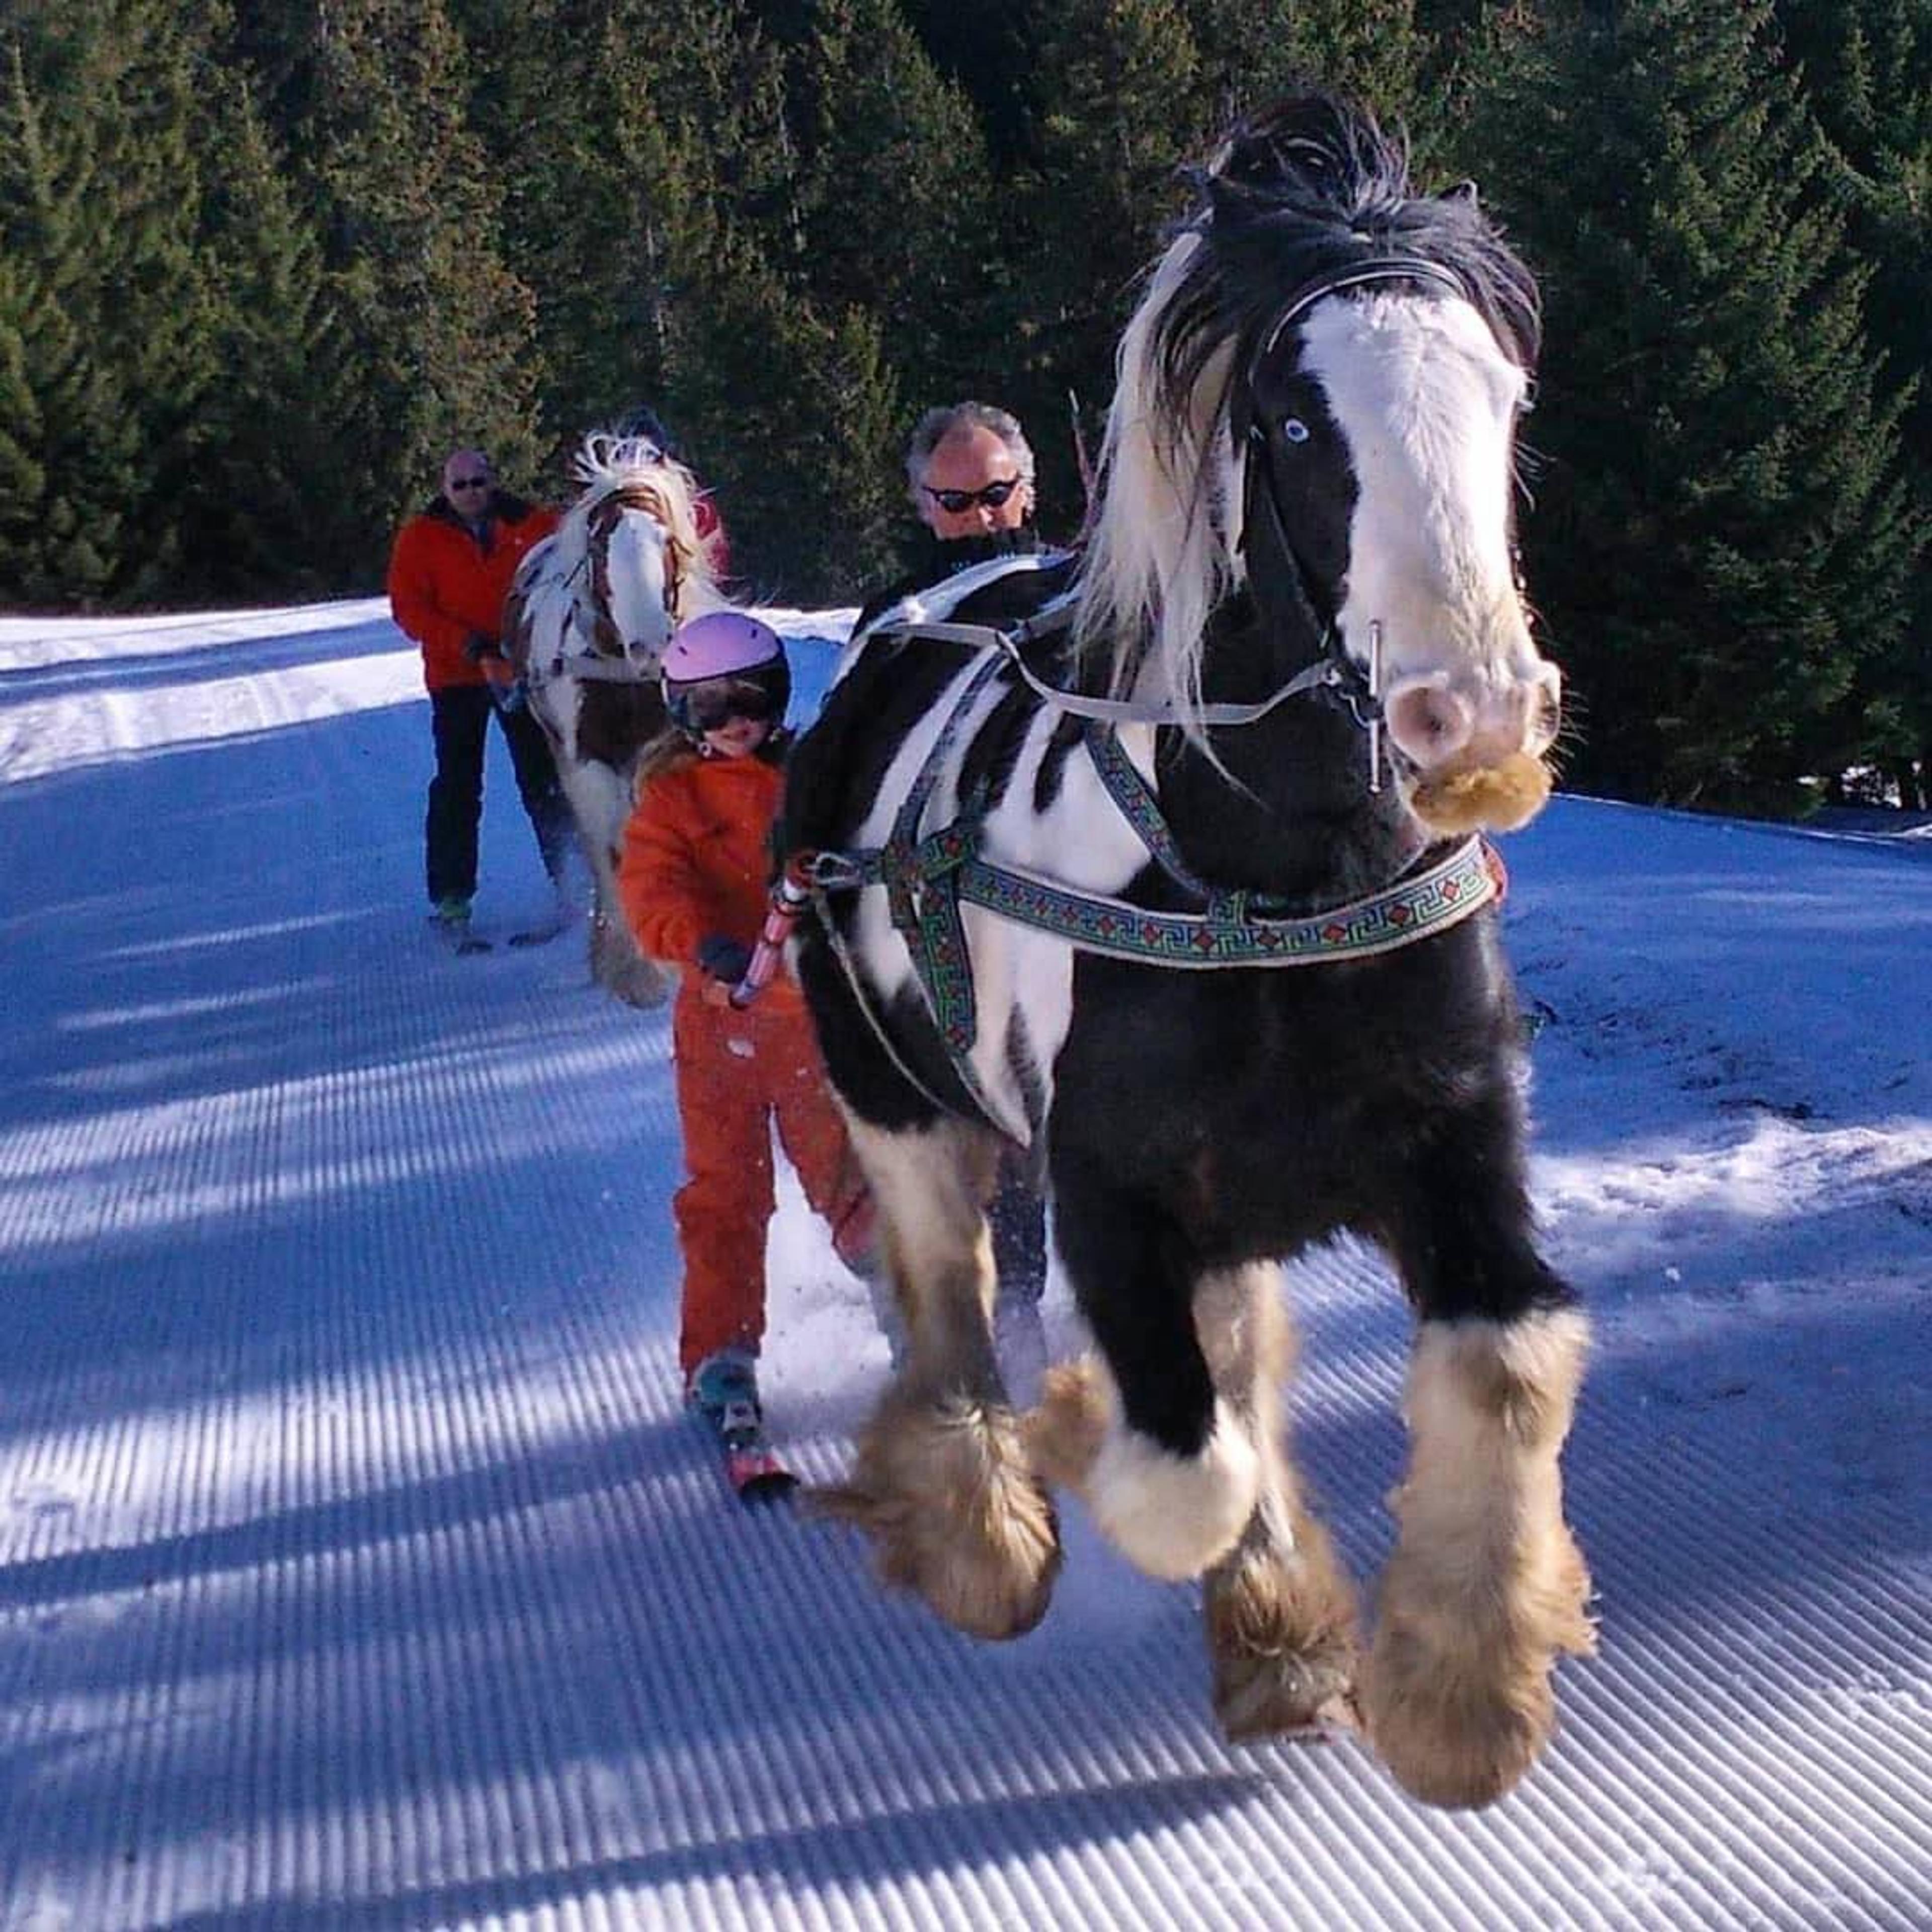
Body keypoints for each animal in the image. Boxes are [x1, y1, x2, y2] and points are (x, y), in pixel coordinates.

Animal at [506, 440, 726, 1012]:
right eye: (602, 549)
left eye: (667, 541)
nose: (653, 646)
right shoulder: (589, 763)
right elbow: (613, 847)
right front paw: (637, 972)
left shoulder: (661, 747)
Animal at [776, 91, 1592, 1808]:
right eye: (1294, 426)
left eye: (1502, 397)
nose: (1476, 721)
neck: (1269, 887)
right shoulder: (1109, 1190)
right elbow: (1181, 1465)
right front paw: (1100, 1466)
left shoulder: (1455, 1151)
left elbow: (1499, 1367)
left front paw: (1457, 1692)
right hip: (899, 1105)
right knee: (947, 1307)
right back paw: (986, 1534)